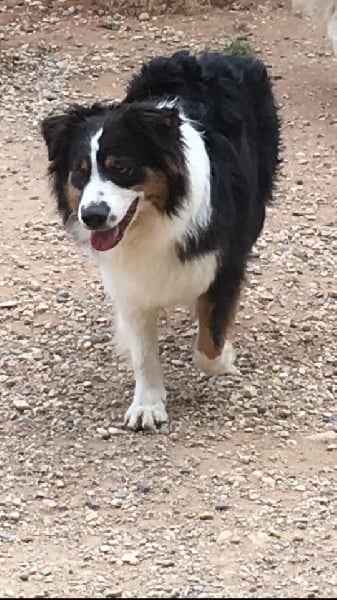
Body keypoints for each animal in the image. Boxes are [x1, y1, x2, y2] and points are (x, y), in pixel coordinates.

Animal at [40, 49, 280, 428]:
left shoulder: (225, 262)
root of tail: (215, 54)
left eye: (121, 167)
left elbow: (209, 348)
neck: (153, 221)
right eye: (79, 172)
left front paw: (225, 353)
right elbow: (142, 350)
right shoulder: (129, 280)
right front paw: (148, 404)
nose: (92, 216)